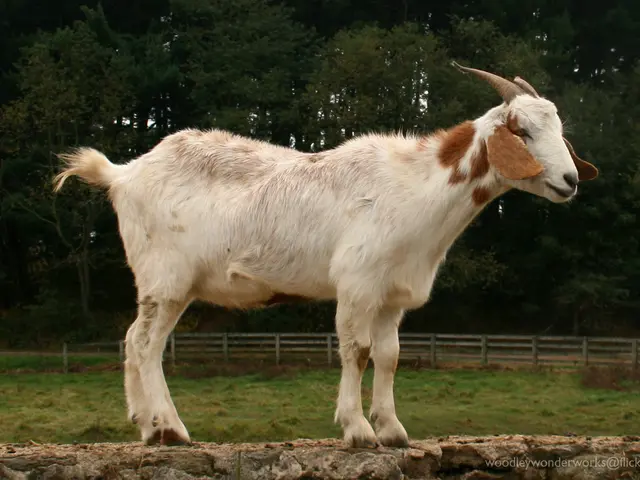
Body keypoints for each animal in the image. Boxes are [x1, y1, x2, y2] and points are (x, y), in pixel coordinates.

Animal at [53, 63, 598, 448]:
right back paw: (171, 429)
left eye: (558, 129)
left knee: (131, 340)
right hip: (167, 279)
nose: (570, 180)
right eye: (522, 131)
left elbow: (390, 355)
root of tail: (123, 174)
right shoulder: (357, 283)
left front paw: (392, 430)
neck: (417, 187)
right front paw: (357, 430)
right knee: (146, 344)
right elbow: (356, 351)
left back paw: (146, 427)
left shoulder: (392, 294)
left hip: (163, 284)